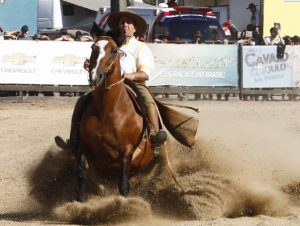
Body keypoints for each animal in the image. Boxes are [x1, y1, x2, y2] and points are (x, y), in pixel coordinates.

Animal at [75, 35, 157, 200]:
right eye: (93, 48)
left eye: (114, 51)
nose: (95, 76)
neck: (106, 111)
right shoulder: (83, 144)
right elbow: (81, 174)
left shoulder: (127, 150)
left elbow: (123, 185)